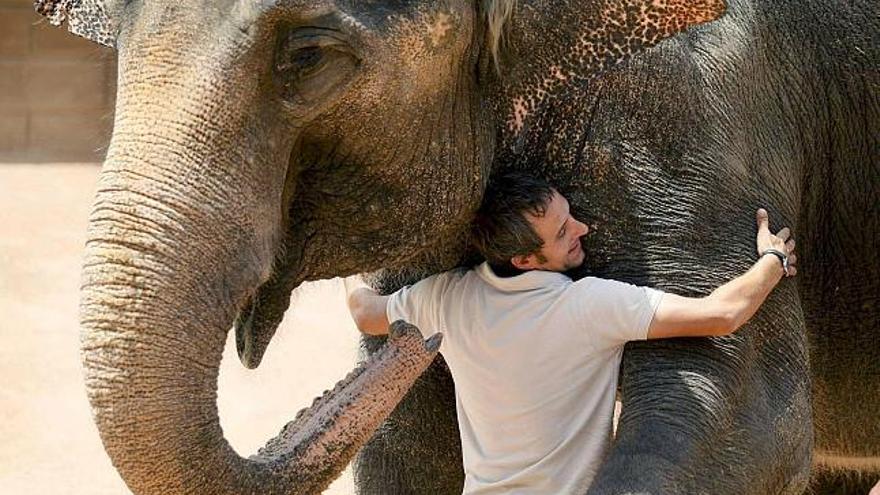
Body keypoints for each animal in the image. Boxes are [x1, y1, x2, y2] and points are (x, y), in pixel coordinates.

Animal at [36, 0, 880, 494]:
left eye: (308, 55)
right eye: (118, 42)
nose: (408, 332)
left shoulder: (697, 110)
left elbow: (737, 411)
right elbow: (414, 439)